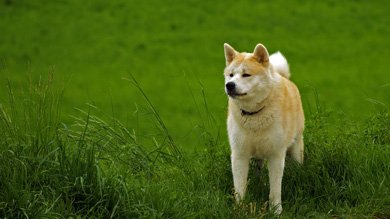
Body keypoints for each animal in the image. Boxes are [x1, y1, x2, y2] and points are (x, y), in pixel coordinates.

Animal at [222, 42, 304, 214]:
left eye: (246, 75)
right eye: (231, 75)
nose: (229, 85)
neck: (254, 114)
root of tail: (284, 77)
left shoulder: (276, 155)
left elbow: (275, 189)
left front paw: (276, 211)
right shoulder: (239, 154)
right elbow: (239, 186)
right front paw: (239, 209)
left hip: (295, 147)